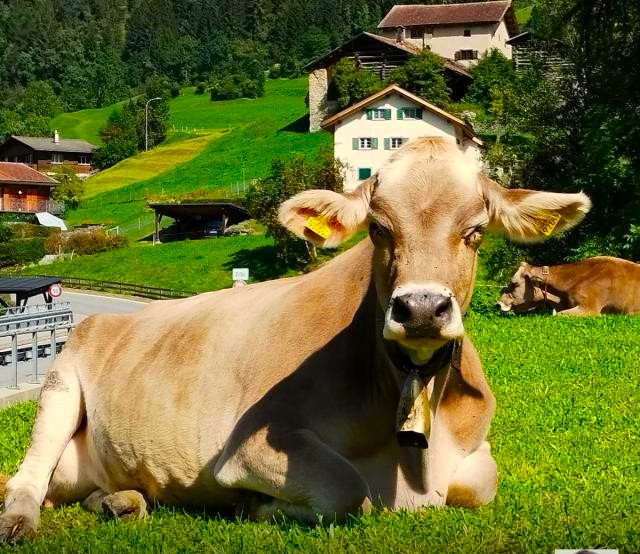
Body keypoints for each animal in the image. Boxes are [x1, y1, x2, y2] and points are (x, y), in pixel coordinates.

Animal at [0, 138, 591, 543]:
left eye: (475, 232)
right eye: (379, 229)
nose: (421, 308)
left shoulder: (475, 452)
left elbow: (480, 483)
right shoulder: (249, 448)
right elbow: (349, 492)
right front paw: (255, 508)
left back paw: (121, 502)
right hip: (59, 387)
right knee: (25, 477)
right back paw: (20, 521)